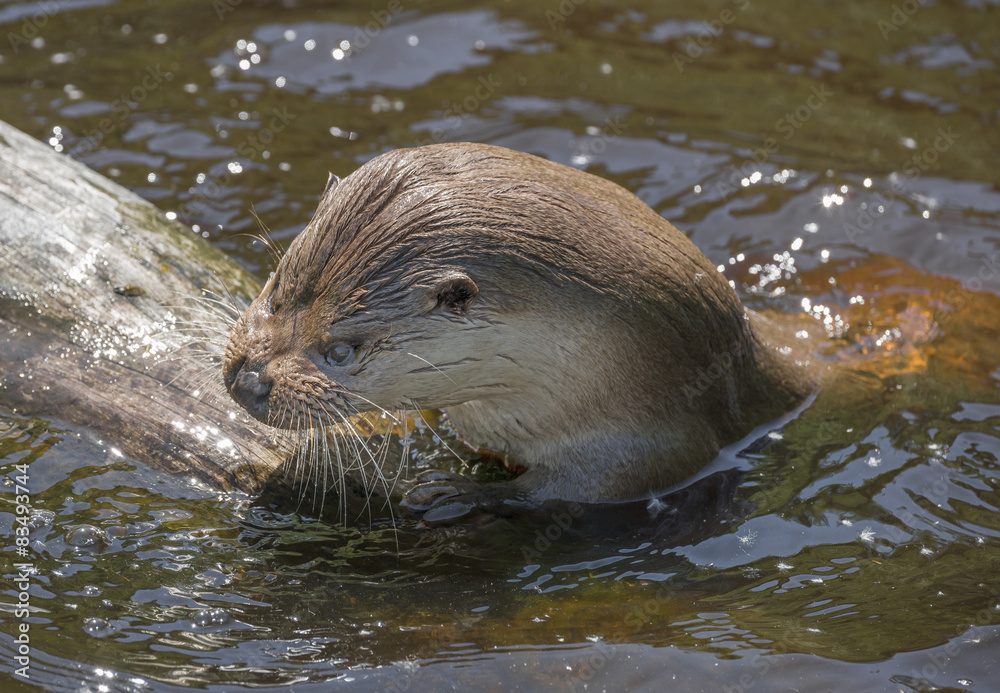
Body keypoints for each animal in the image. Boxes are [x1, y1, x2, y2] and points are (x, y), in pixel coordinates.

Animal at [222, 143, 820, 510]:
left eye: (343, 350)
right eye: (276, 292)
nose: (247, 377)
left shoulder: (653, 438)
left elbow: (561, 491)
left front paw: (454, 493)